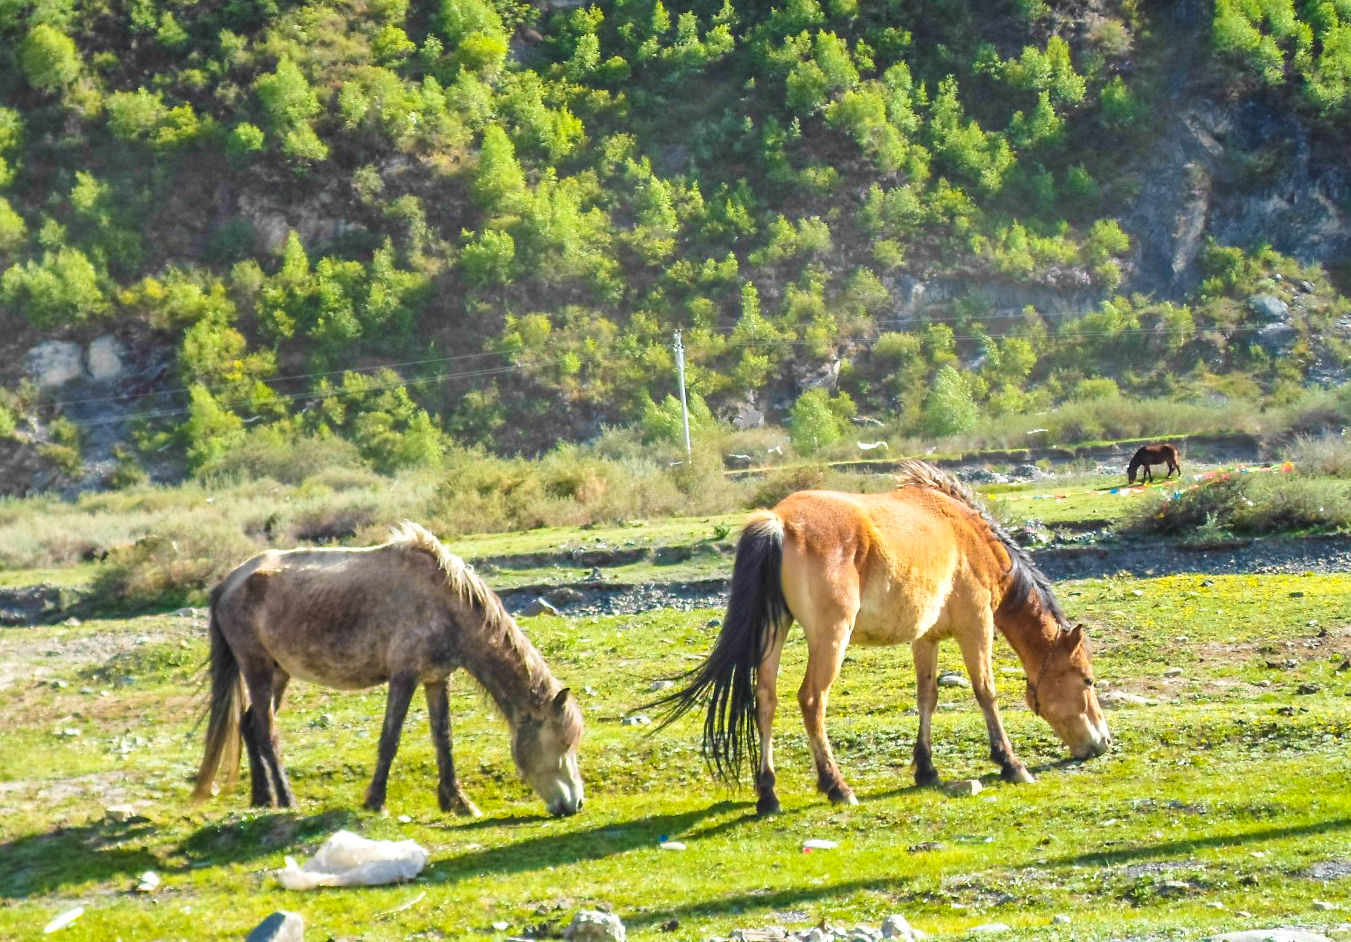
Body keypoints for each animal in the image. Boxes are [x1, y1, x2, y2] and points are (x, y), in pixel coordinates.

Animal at [191, 521, 586, 816]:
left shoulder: (435, 680)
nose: (575, 803)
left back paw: (263, 798)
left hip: (278, 672)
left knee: (249, 724)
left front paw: (458, 802)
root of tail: (229, 581)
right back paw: (287, 800)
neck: (446, 604)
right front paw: (375, 801)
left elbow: (443, 740)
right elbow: (389, 738)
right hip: (256, 667)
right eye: (563, 741)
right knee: (267, 730)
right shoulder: (404, 677)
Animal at [653, 459, 1107, 810]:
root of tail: (778, 523)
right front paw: (1011, 764)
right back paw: (837, 787)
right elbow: (986, 692)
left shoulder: (926, 639)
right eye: (1087, 680)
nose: (1102, 742)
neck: (969, 537)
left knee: (766, 701)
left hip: (773, 632)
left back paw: (769, 796)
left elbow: (927, 697)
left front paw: (926, 769)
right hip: (830, 638)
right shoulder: (976, 626)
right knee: (811, 701)